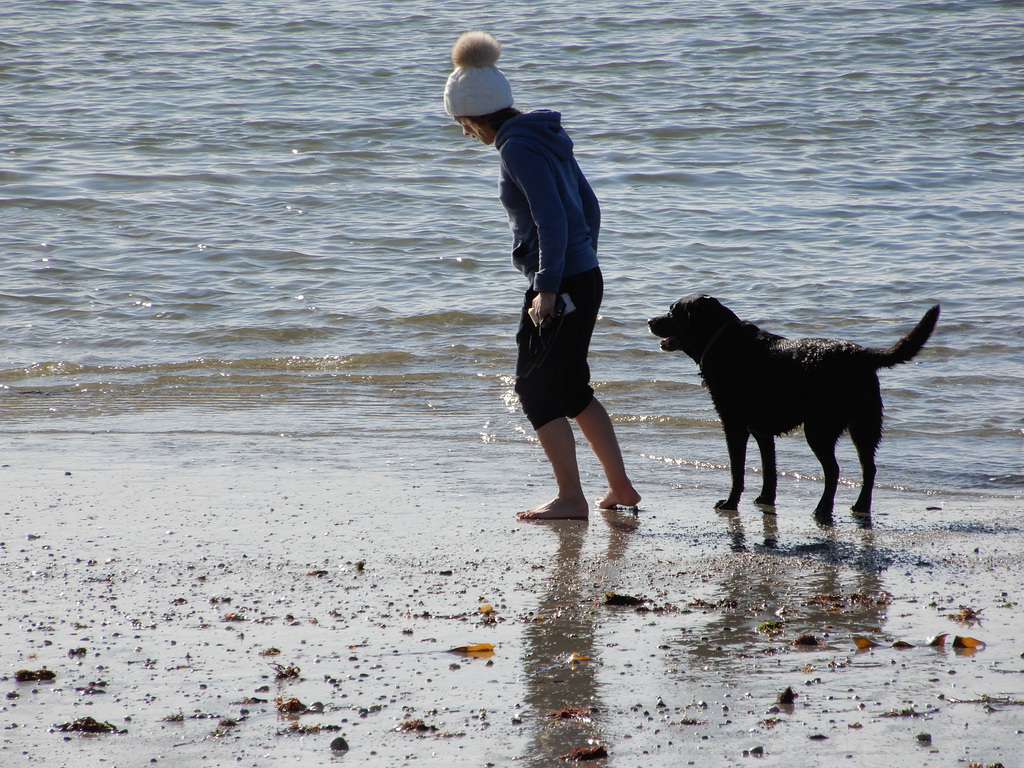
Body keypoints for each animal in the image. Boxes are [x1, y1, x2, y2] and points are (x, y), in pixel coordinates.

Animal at [651, 296, 937, 518]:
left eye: (673, 311)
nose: (650, 321)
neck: (722, 340)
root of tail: (860, 354)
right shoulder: (761, 431)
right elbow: (769, 470)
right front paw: (766, 500)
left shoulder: (734, 425)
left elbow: (737, 472)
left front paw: (730, 503)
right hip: (864, 426)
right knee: (869, 468)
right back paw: (859, 507)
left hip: (819, 428)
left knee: (833, 470)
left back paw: (822, 509)